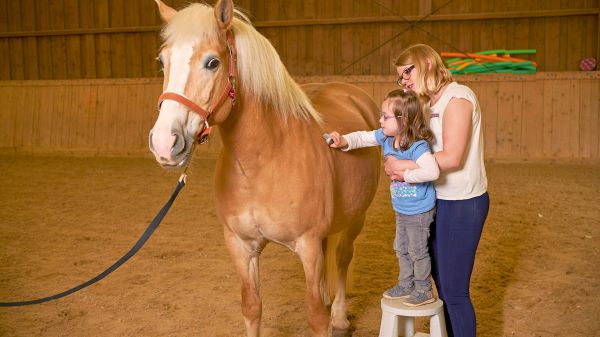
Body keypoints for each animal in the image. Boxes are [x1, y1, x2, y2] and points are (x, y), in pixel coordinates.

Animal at [149, 1, 380, 334]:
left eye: (212, 62)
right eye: (162, 61)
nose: (164, 143)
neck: (262, 161)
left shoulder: (308, 246)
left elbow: (315, 316)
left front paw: (327, 317)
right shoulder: (241, 247)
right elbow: (252, 307)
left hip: (355, 217)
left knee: (341, 257)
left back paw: (338, 316)